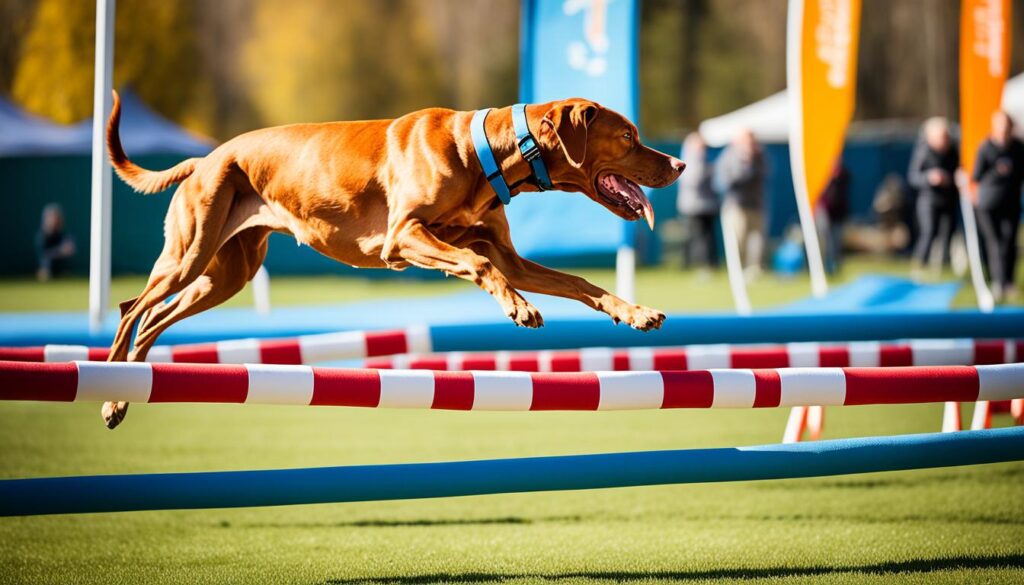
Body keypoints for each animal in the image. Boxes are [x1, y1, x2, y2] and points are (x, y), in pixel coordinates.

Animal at [101, 92, 688, 430]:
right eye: (629, 135)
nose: (681, 163)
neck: (484, 151)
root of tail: (206, 157)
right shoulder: (403, 236)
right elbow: (477, 265)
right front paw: (520, 309)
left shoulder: (508, 255)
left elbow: (578, 282)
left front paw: (635, 312)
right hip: (189, 254)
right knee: (132, 310)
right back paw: (109, 394)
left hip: (226, 273)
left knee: (153, 317)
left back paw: (128, 392)